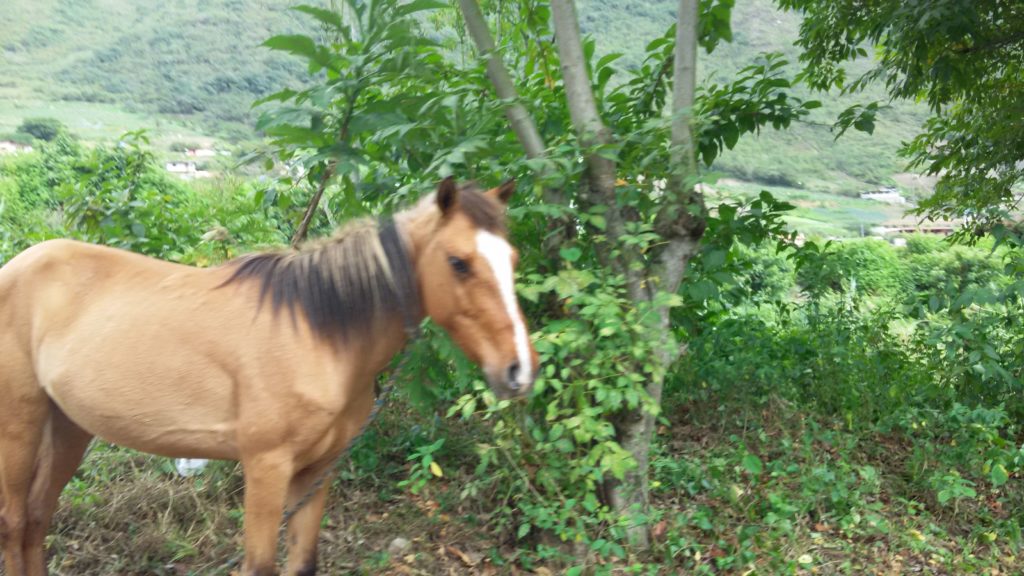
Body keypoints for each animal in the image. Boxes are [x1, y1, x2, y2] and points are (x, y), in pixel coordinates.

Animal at [0, 177, 538, 576]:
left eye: (512, 259)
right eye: (458, 262)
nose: (519, 370)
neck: (317, 335)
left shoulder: (317, 471)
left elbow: (303, 563)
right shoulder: (266, 468)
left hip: (70, 424)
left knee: (37, 517)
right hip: (21, 423)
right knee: (14, 521)